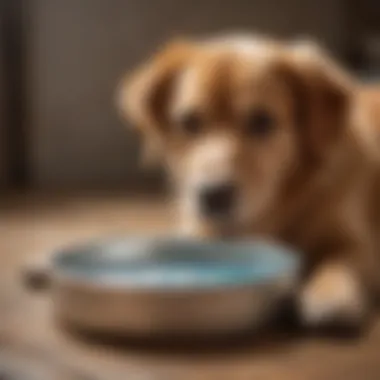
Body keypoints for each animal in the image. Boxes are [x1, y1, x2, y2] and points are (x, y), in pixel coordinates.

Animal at [120, 35, 380, 332]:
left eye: (262, 121)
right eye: (189, 122)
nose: (213, 196)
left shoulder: (360, 242)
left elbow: (340, 260)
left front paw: (331, 293)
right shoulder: (201, 229)